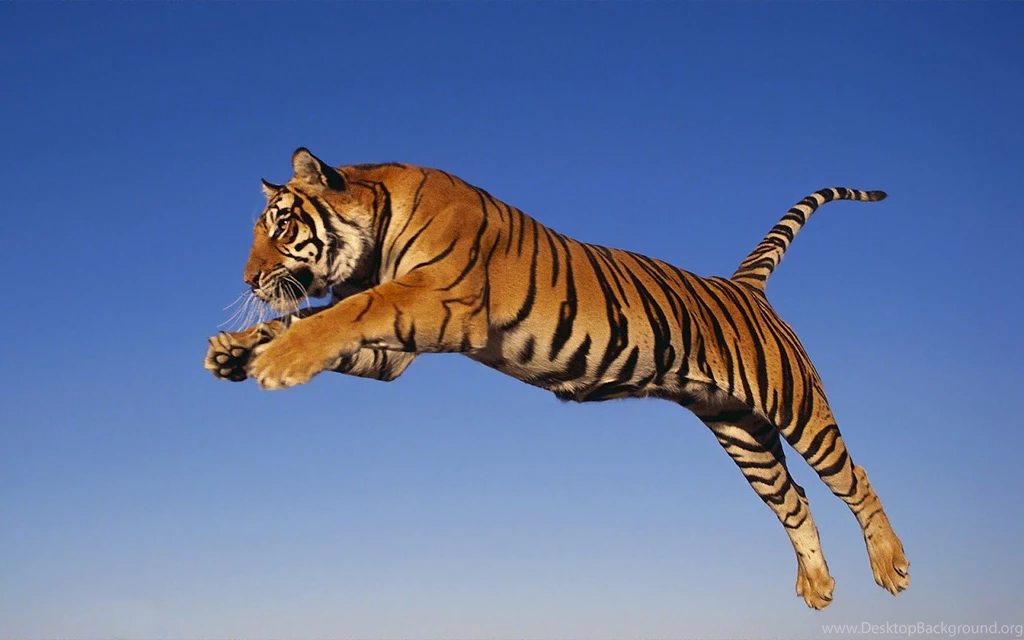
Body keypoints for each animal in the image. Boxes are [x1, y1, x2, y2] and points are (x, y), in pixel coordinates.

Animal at [204, 147, 910, 609]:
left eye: (283, 226)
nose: (247, 280)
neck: (375, 238)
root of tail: (743, 285)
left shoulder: (434, 300)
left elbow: (338, 314)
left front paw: (275, 361)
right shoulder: (396, 351)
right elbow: (310, 317)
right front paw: (234, 350)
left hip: (796, 405)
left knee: (854, 477)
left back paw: (891, 565)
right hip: (740, 431)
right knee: (794, 499)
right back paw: (818, 587)